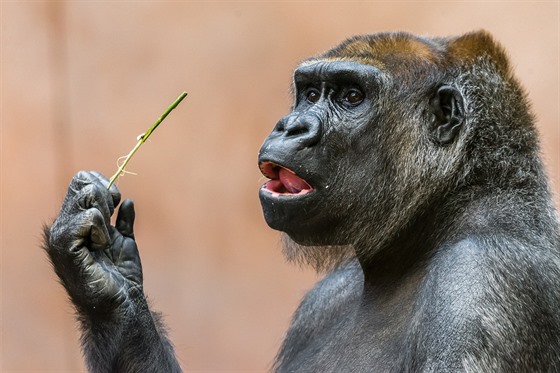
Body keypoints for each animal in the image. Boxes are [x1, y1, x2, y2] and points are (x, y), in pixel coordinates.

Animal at [44, 30, 560, 370]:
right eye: (309, 93)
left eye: (351, 96)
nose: (290, 125)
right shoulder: (319, 305)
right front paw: (104, 280)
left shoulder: (483, 284)